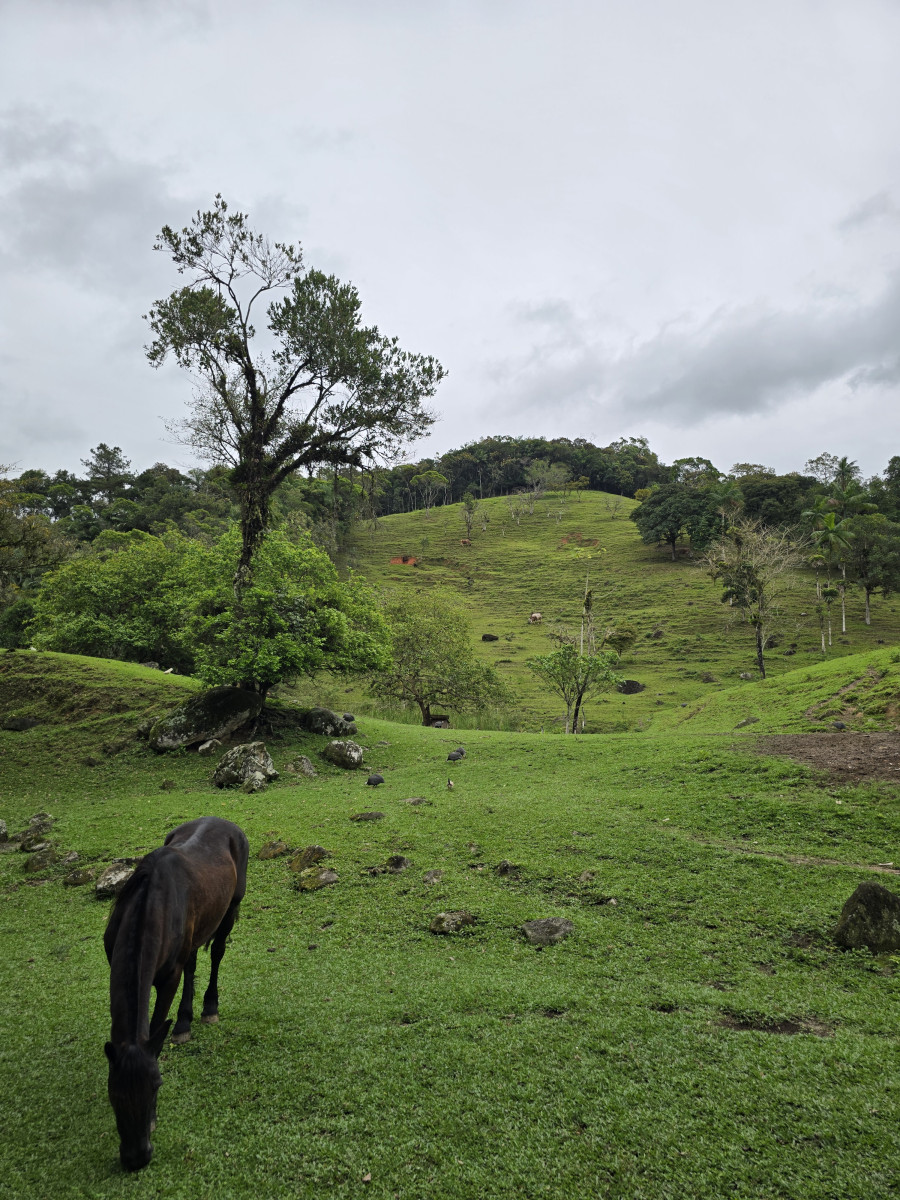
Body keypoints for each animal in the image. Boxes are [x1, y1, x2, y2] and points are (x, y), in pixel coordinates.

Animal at [103, 816, 248, 1171]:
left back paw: (207, 1010)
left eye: (157, 1086)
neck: (149, 903)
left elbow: (156, 1025)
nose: (137, 1158)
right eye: (113, 1093)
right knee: (193, 962)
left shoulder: (168, 979)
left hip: (230, 909)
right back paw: (185, 1021)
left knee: (216, 954)